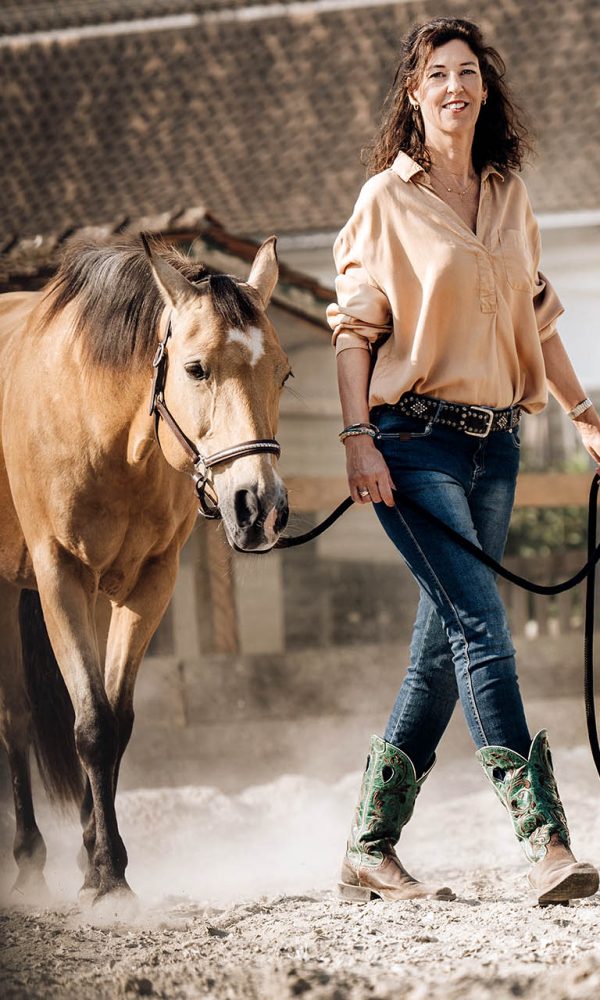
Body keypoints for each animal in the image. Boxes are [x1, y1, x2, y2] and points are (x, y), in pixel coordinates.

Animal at [0, 236, 290, 908]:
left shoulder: (148, 584)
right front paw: (107, 879)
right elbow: (91, 726)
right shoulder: (59, 579)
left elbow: (115, 719)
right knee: (14, 718)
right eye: (195, 369)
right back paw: (29, 866)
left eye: (284, 373)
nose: (259, 508)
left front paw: (98, 863)